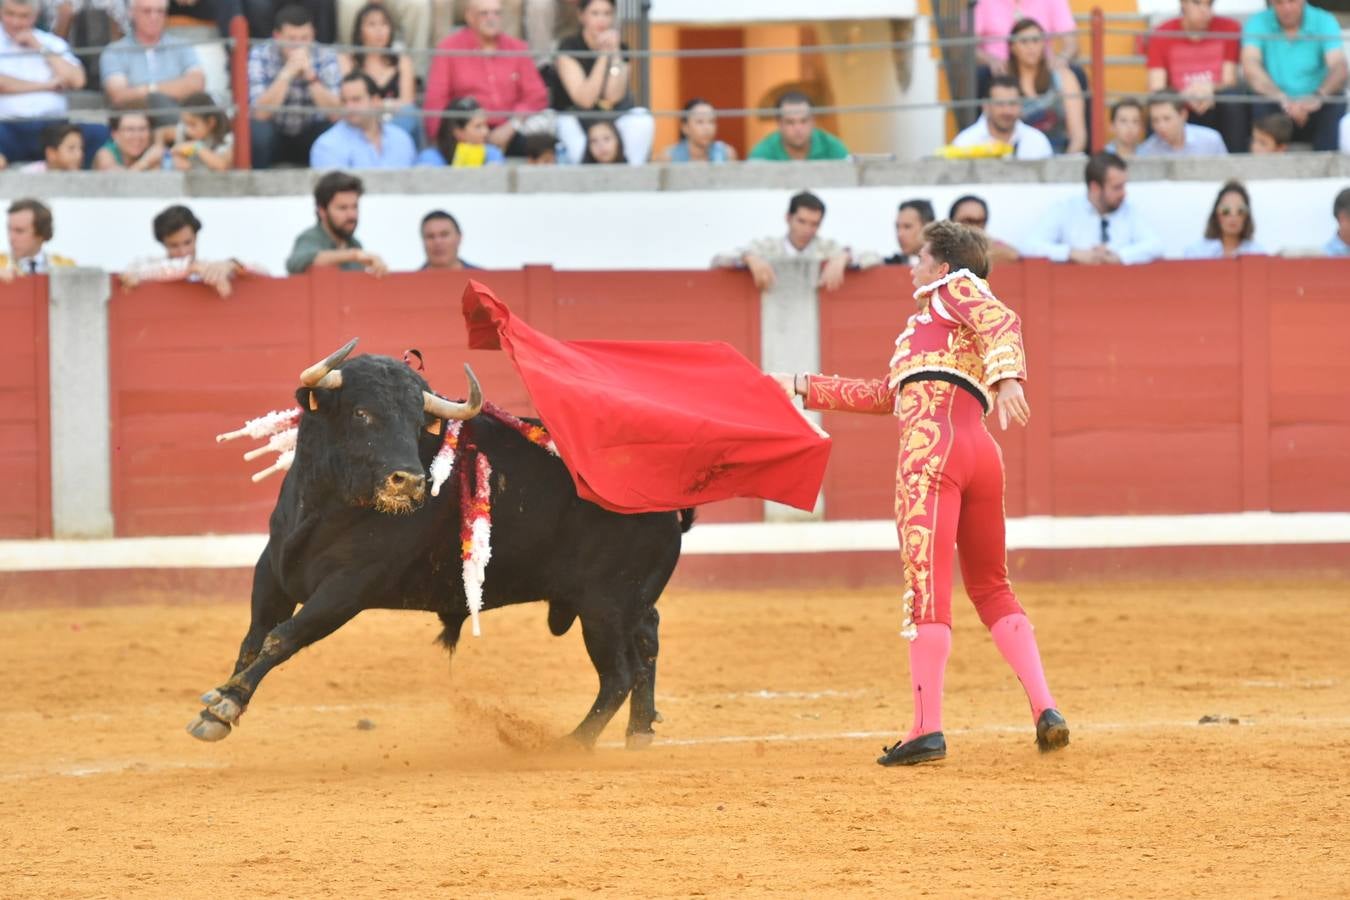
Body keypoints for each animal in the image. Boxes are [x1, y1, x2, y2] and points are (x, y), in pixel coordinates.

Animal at [186, 341, 691, 750]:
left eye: (416, 422)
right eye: (361, 413)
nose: (410, 481)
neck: (324, 506)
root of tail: (666, 499)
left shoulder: (347, 588)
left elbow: (282, 637)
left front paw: (225, 705)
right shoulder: (272, 570)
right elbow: (254, 639)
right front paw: (219, 705)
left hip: (604, 605)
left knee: (619, 674)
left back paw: (572, 744)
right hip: (629, 602)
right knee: (647, 643)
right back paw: (639, 732)